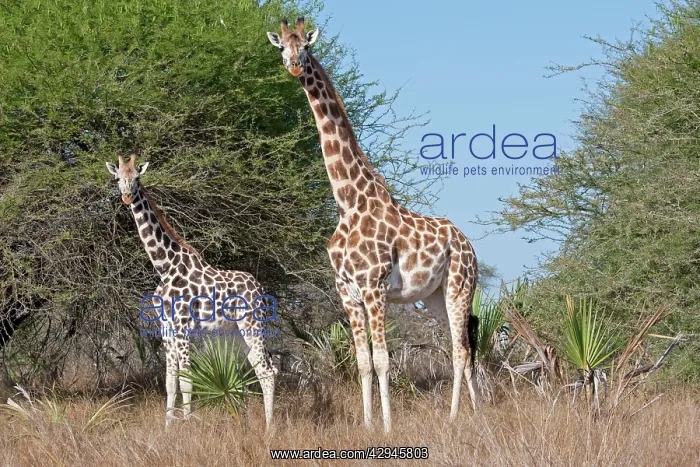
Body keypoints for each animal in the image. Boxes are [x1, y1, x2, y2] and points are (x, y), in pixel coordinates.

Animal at [106, 154, 277, 429]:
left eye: (137, 177)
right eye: (118, 178)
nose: (127, 196)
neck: (165, 266)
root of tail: (260, 288)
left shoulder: (182, 325)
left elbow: (186, 378)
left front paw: (187, 424)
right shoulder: (165, 326)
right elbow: (170, 380)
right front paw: (168, 427)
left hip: (253, 323)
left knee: (267, 370)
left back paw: (269, 429)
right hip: (235, 332)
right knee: (256, 365)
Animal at [267, 18, 480, 433]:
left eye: (306, 47)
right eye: (282, 47)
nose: (296, 67)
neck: (348, 202)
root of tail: (470, 247)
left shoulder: (374, 287)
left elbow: (382, 360)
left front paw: (387, 425)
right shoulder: (346, 290)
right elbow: (363, 361)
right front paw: (367, 424)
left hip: (460, 287)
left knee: (462, 349)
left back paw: (454, 416)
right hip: (434, 296)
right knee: (459, 346)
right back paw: (481, 410)